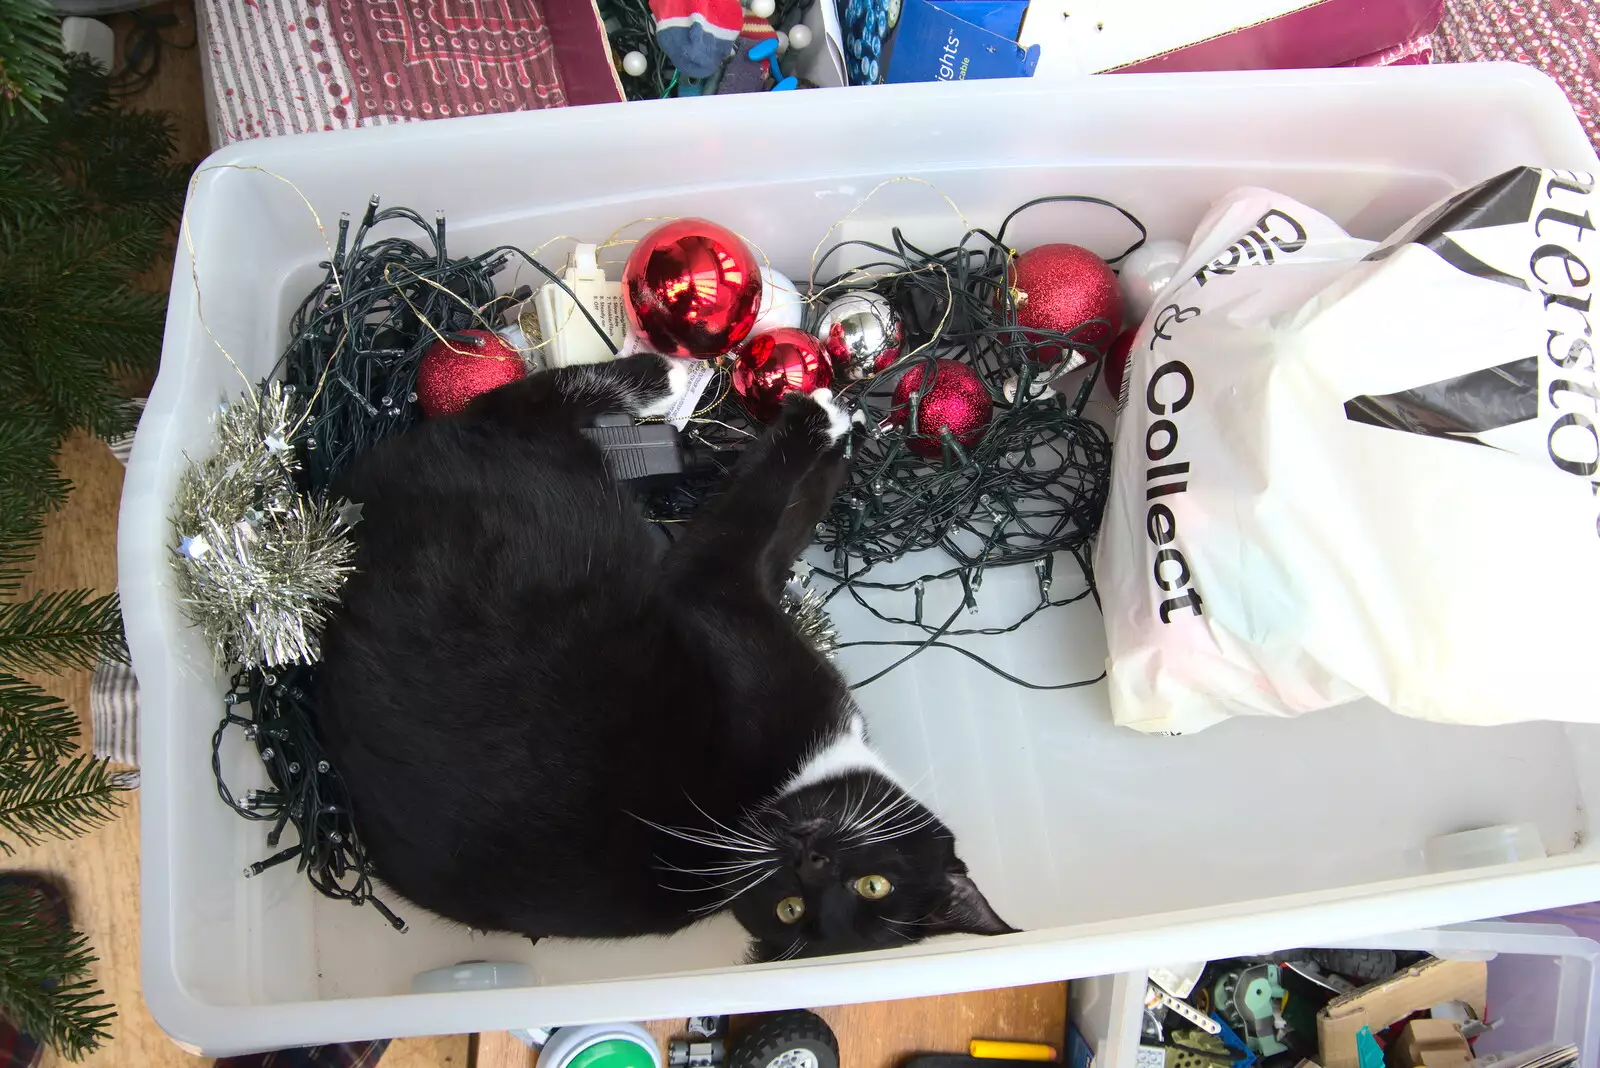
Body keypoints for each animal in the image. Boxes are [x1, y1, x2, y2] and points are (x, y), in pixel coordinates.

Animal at [313, 351, 1011, 959]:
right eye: (875, 883)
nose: (812, 859)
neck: (780, 795)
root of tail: (336, 512)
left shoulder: (713, 588)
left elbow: (760, 512)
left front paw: (822, 422)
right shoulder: (726, 586)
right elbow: (778, 516)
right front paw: (833, 427)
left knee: (519, 406)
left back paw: (658, 376)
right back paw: (668, 376)